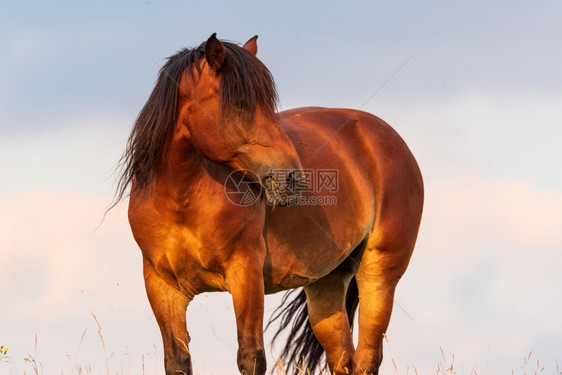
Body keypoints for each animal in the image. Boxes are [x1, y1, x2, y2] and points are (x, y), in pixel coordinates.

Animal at [116, 33, 422, 374]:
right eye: (241, 103)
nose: (291, 177)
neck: (181, 200)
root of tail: (386, 138)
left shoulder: (246, 275)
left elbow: (250, 357)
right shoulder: (162, 287)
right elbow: (178, 361)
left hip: (379, 275)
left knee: (368, 356)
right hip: (327, 286)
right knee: (343, 357)